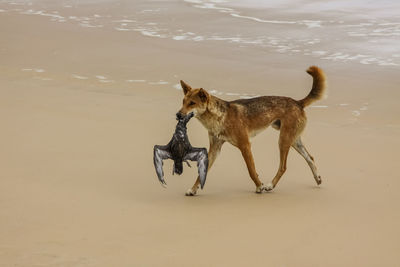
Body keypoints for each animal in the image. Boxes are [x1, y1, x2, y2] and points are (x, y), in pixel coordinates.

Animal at [177, 66, 324, 197]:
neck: (220, 117)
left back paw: (270, 185)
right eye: (183, 101)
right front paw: (193, 190)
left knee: (283, 167)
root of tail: (298, 102)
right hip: (293, 140)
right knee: (310, 158)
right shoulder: (215, 149)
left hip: (283, 140)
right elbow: (202, 173)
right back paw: (317, 178)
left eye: (192, 103)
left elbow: (251, 170)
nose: (178, 115)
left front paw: (260, 186)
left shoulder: (245, 145)